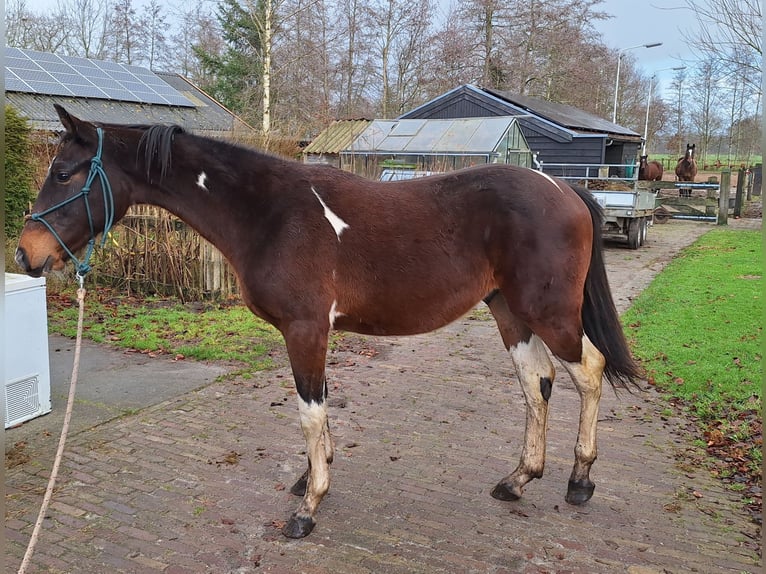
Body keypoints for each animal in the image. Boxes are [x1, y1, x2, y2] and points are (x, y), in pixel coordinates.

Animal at [16, 107, 640, 540]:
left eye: (65, 173)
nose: (26, 253)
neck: (271, 213)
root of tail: (565, 189)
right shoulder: (312, 333)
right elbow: (319, 405)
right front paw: (311, 476)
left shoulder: (305, 329)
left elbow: (309, 410)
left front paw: (308, 506)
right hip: (510, 311)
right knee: (537, 382)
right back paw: (518, 479)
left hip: (548, 313)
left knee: (588, 370)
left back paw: (580, 482)